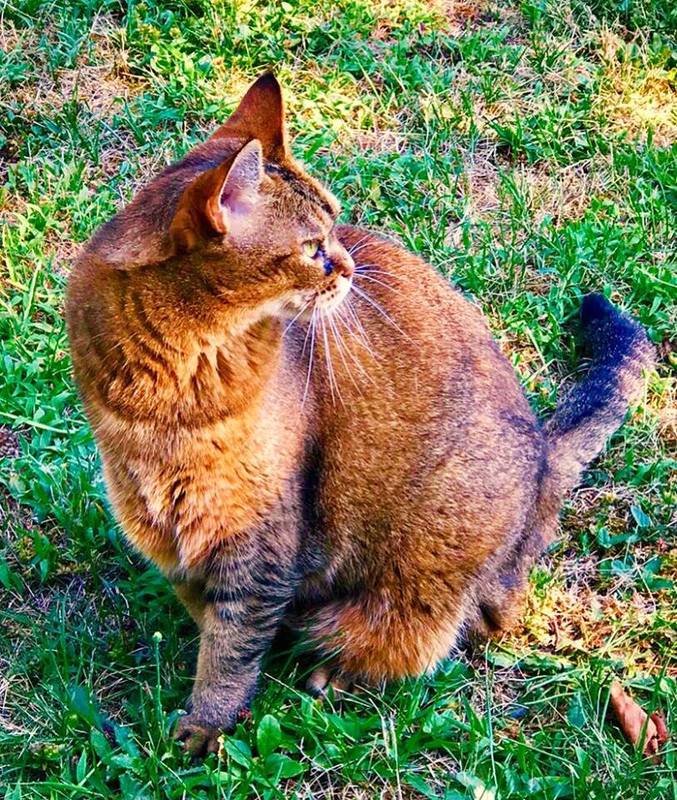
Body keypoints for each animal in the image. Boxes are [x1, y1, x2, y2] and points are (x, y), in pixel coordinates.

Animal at [66, 72, 654, 755]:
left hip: (428, 574)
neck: (171, 387)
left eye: (336, 230)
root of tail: (542, 457)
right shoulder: (167, 530)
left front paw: (207, 724)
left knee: (450, 630)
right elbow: (211, 616)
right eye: (313, 248)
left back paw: (338, 673)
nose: (349, 266)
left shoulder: (259, 541)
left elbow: (233, 646)